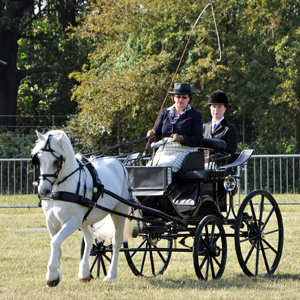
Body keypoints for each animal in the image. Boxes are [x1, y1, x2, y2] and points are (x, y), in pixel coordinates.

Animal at [31, 130, 131, 288]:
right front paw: (56, 276)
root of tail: (118, 162)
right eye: (38, 159)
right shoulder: (51, 221)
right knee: (90, 239)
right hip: (85, 219)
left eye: (56, 161)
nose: (44, 190)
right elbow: (57, 245)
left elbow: (55, 242)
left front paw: (51, 276)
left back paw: (111, 274)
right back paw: (84, 274)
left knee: (116, 241)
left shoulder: (72, 221)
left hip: (119, 211)